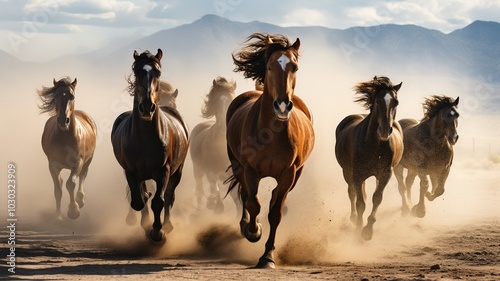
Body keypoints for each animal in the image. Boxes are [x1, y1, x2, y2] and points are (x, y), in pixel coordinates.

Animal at [39, 76, 97, 219]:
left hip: (88, 160)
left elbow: (71, 184)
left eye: (72, 96)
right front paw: (58, 216)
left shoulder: (78, 162)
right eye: (56, 96)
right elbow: (58, 189)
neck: (64, 137)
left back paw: (80, 199)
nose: (63, 121)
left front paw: (73, 210)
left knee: (83, 175)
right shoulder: (52, 165)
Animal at [111, 48, 189, 243]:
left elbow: (159, 201)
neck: (145, 138)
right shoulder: (131, 171)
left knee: (169, 197)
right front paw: (147, 226)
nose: (147, 107)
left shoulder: (164, 170)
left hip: (177, 171)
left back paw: (167, 225)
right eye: (137, 71)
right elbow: (140, 200)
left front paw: (158, 231)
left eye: (158, 73)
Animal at [190, 76, 239, 212]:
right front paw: (215, 206)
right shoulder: (210, 172)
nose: (223, 127)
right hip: (198, 170)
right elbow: (213, 189)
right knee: (200, 191)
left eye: (231, 100)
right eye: (217, 102)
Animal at [226, 32, 314, 266]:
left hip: (297, 174)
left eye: (295, 67)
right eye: (269, 67)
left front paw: (267, 256)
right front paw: (253, 231)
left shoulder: (288, 174)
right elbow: (253, 203)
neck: (270, 134)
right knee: (245, 194)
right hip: (237, 165)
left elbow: (275, 213)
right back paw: (245, 225)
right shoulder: (250, 170)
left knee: (275, 197)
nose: (282, 105)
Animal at [334, 75, 404, 240]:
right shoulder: (357, 174)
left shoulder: (385, 173)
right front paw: (358, 227)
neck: (374, 145)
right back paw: (353, 218)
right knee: (352, 192)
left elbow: (377, 198)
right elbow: (360, 202)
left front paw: (368, 230)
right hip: (347, 172)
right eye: (377, 101)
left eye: (396, 102)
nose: (384, 130)